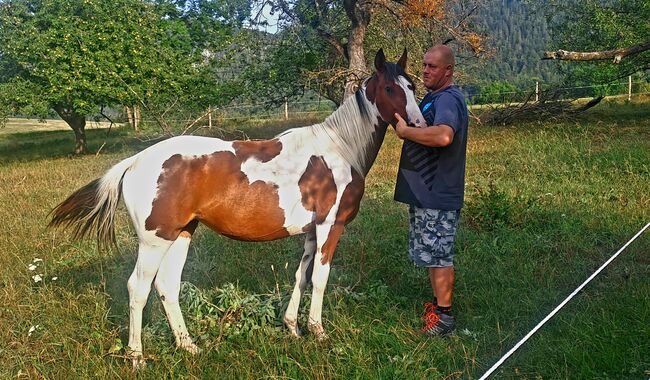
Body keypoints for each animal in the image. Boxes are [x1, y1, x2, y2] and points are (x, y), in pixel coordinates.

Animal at [50, 48, 426, 368]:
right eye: (390, 88)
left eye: (412, 86)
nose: (418, 125)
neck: (339, 149)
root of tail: (134, 161)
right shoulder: (329, 226)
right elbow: (320, 279)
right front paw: (318, 331)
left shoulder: (310, 233)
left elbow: (301, 276)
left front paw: (292, 327)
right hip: (154, 241)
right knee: (138, 290)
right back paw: (137, 358)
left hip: (181, 235)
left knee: (167, 287)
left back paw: (188, 345)